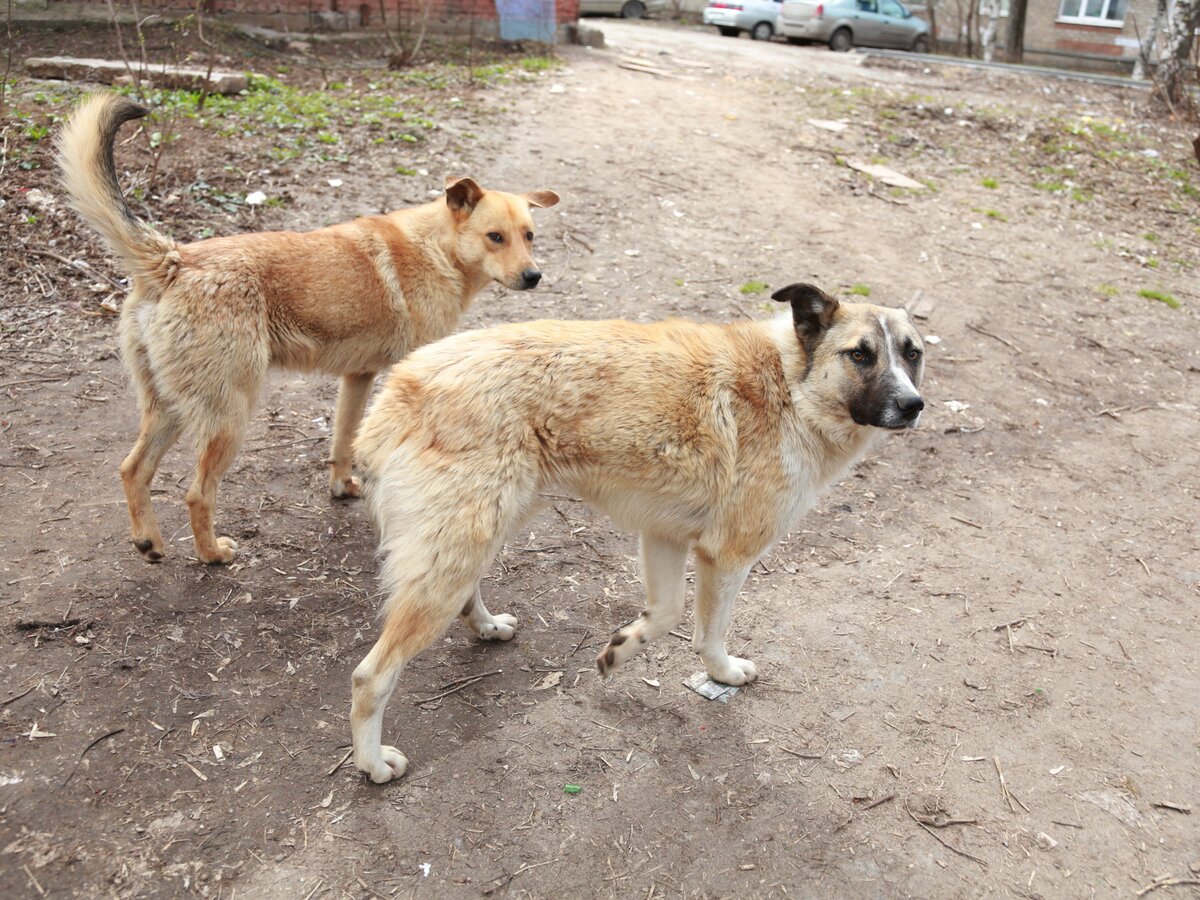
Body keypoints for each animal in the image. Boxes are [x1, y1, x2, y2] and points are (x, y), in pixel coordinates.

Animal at [55, 95, 556, 566]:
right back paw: (212, 554)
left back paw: (149, 542)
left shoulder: (358, 378)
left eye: (529, 236)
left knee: (132, 470)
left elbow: (343, 441)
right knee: (197, 494)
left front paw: (342, 487)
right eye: (495, 237)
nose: (533, 277)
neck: (436, 249)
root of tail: (174, 259)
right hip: (228, 416)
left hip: (169, 409)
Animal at [348, 285, 926, 787]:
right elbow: (708, 634)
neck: (791, 386)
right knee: (370, 676)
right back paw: (373, 763)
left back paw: (487, 626)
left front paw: (620, 649)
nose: (913, 405)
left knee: (466, 595)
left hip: (483, 532)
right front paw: (722, 674)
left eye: (912, 353)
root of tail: (399, 389)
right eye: (860, 354)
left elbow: (666, 613)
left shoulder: (664, 535)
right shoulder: (728, 554)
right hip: (457, 553)